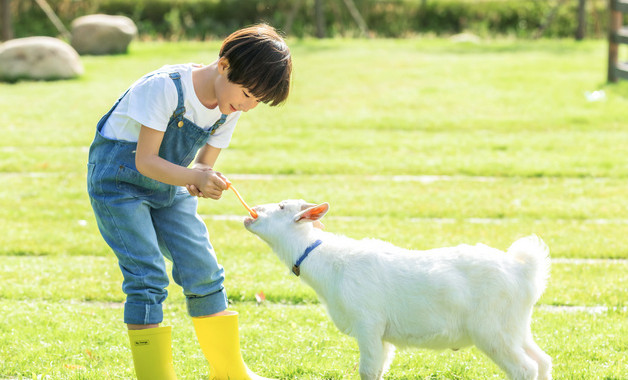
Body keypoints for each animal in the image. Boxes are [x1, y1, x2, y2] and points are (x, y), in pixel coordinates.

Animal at [243, 199, 552, 380]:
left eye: (282, 207)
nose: (250, 213)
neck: (329, 263)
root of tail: (525, 270)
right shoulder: (383, 336)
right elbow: (379, 369)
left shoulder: (368, 322)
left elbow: (367, 370)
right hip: (515, 327)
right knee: (543, 361)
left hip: (491, 330)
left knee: (526, 368)